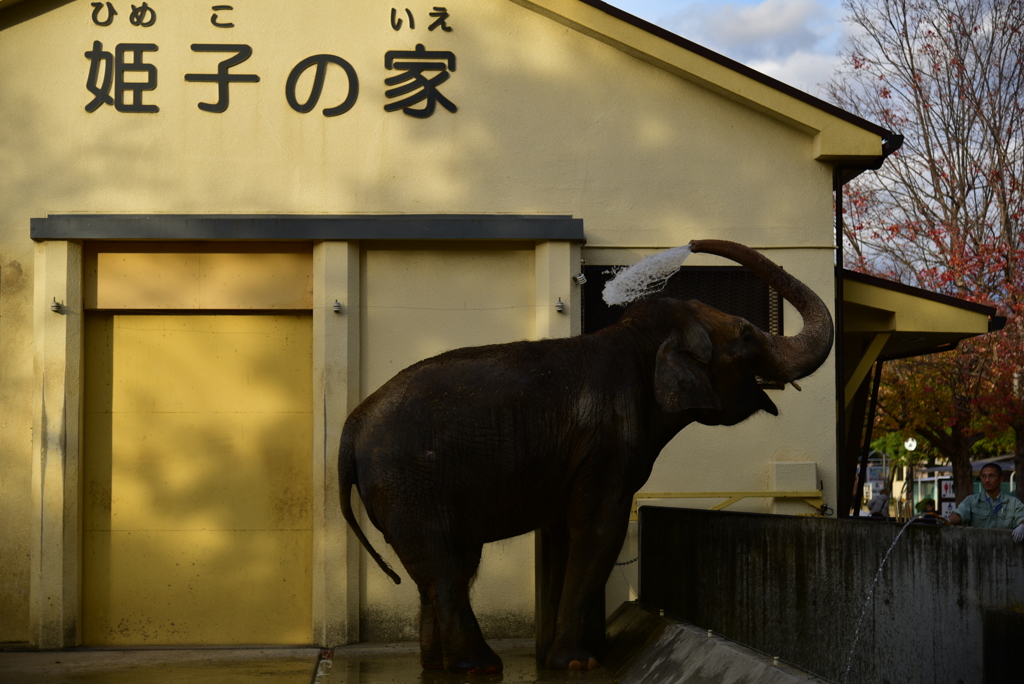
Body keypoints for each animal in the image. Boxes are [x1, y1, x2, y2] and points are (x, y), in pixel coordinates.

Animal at [339, 239, 835, 671]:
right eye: (747, 335)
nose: (692, 242)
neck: (636, 337)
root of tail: (351, 426)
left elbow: (562, 532)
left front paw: (560, 658)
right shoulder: (608, 441)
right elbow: (598, 529)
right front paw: (578, 662)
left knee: (438, 569)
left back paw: (437, 666)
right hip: (411, 483)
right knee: (447, 566)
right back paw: (478, 666)